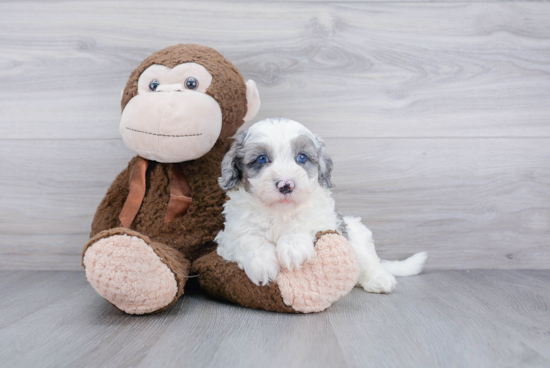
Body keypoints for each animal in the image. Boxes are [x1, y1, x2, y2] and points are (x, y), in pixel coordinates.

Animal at [216, 118, 426, 294]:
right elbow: (249, 239)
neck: (280, 211)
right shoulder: (231, 234)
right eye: (261, 159)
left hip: (357, 236)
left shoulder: (325, 219)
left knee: (369, 263)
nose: (286, 185)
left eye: (301, 158)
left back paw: (379, 280)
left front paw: (293, 248)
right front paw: (262, 263)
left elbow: (304, 223)